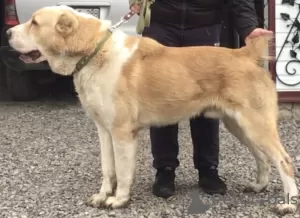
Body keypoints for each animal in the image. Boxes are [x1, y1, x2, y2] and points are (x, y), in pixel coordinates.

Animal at [7, 5, 298, 216]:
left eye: (34, 23)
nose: (8, 34)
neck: (94, 52)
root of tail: (243, 54)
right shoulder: (104, 131)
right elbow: (108, 169)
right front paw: (102, 195)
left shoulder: (123, 133)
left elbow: (123, 171)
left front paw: (119, 200)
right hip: (239, 126)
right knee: (263, 158)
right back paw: (258, 185)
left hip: (255, 125)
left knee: (284, 160)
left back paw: (288, 204)